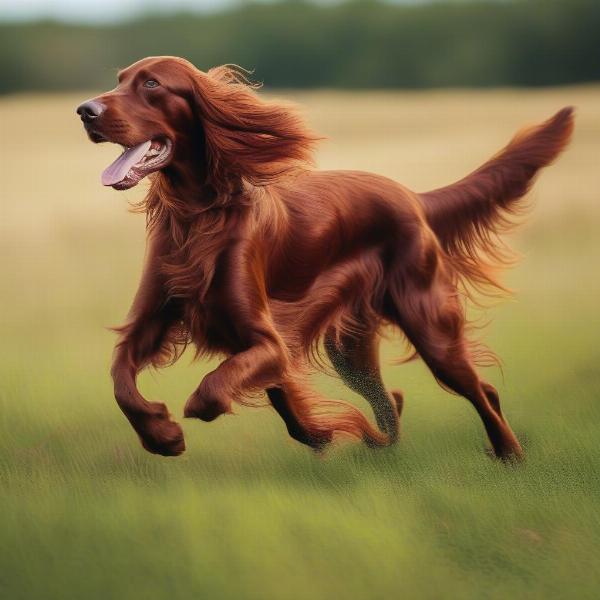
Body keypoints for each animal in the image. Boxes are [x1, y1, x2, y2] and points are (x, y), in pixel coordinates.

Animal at [77, 57, 576, 460]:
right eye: (119, 81)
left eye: (152, 84)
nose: (85, 111)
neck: (198, 217)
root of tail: (412, 197)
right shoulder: (149, 324)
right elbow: (121, 380)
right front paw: (162, 435)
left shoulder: (267, 341)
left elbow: (216, 389)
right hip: (352, 350)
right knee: (396, 397)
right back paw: (384, 440)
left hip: (430, 325)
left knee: (476, 387)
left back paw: (510, 454)